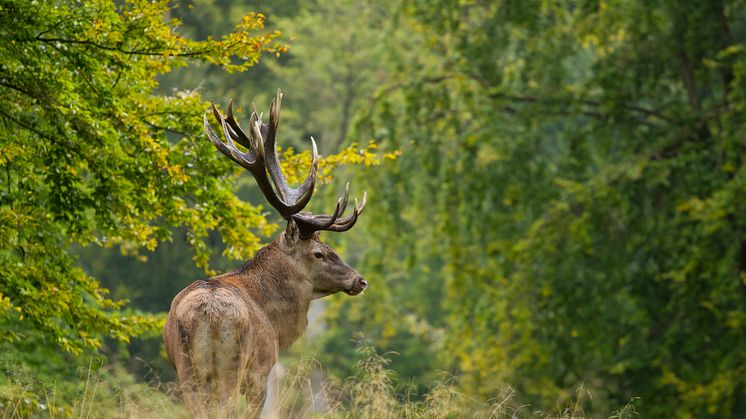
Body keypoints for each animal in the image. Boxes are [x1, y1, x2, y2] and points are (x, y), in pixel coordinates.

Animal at [166, 90, 370, 418]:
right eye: (319, 253)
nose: (360, 280)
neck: (274, 318)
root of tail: (206, 316)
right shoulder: (262, 369)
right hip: (232, 366)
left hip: (186, 370)